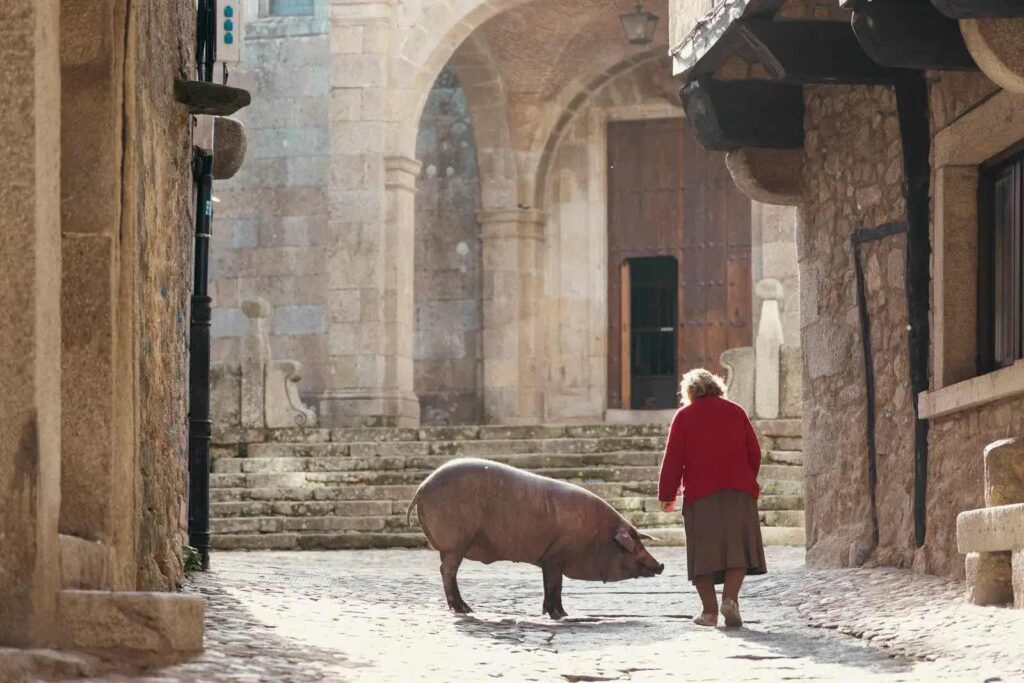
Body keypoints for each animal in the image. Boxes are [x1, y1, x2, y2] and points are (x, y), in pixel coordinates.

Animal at [407, 458, 663, 618]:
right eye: (633, 545)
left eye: (640, 541)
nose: (660, 564)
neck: (597, 536)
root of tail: (421, 487)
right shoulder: (554, 557)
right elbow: (552, 586)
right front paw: (559, 615)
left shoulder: (553, 561)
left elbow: (555, 587)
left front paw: (560, 613)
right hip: (455, 545)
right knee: (447, 571)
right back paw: (465, 609)